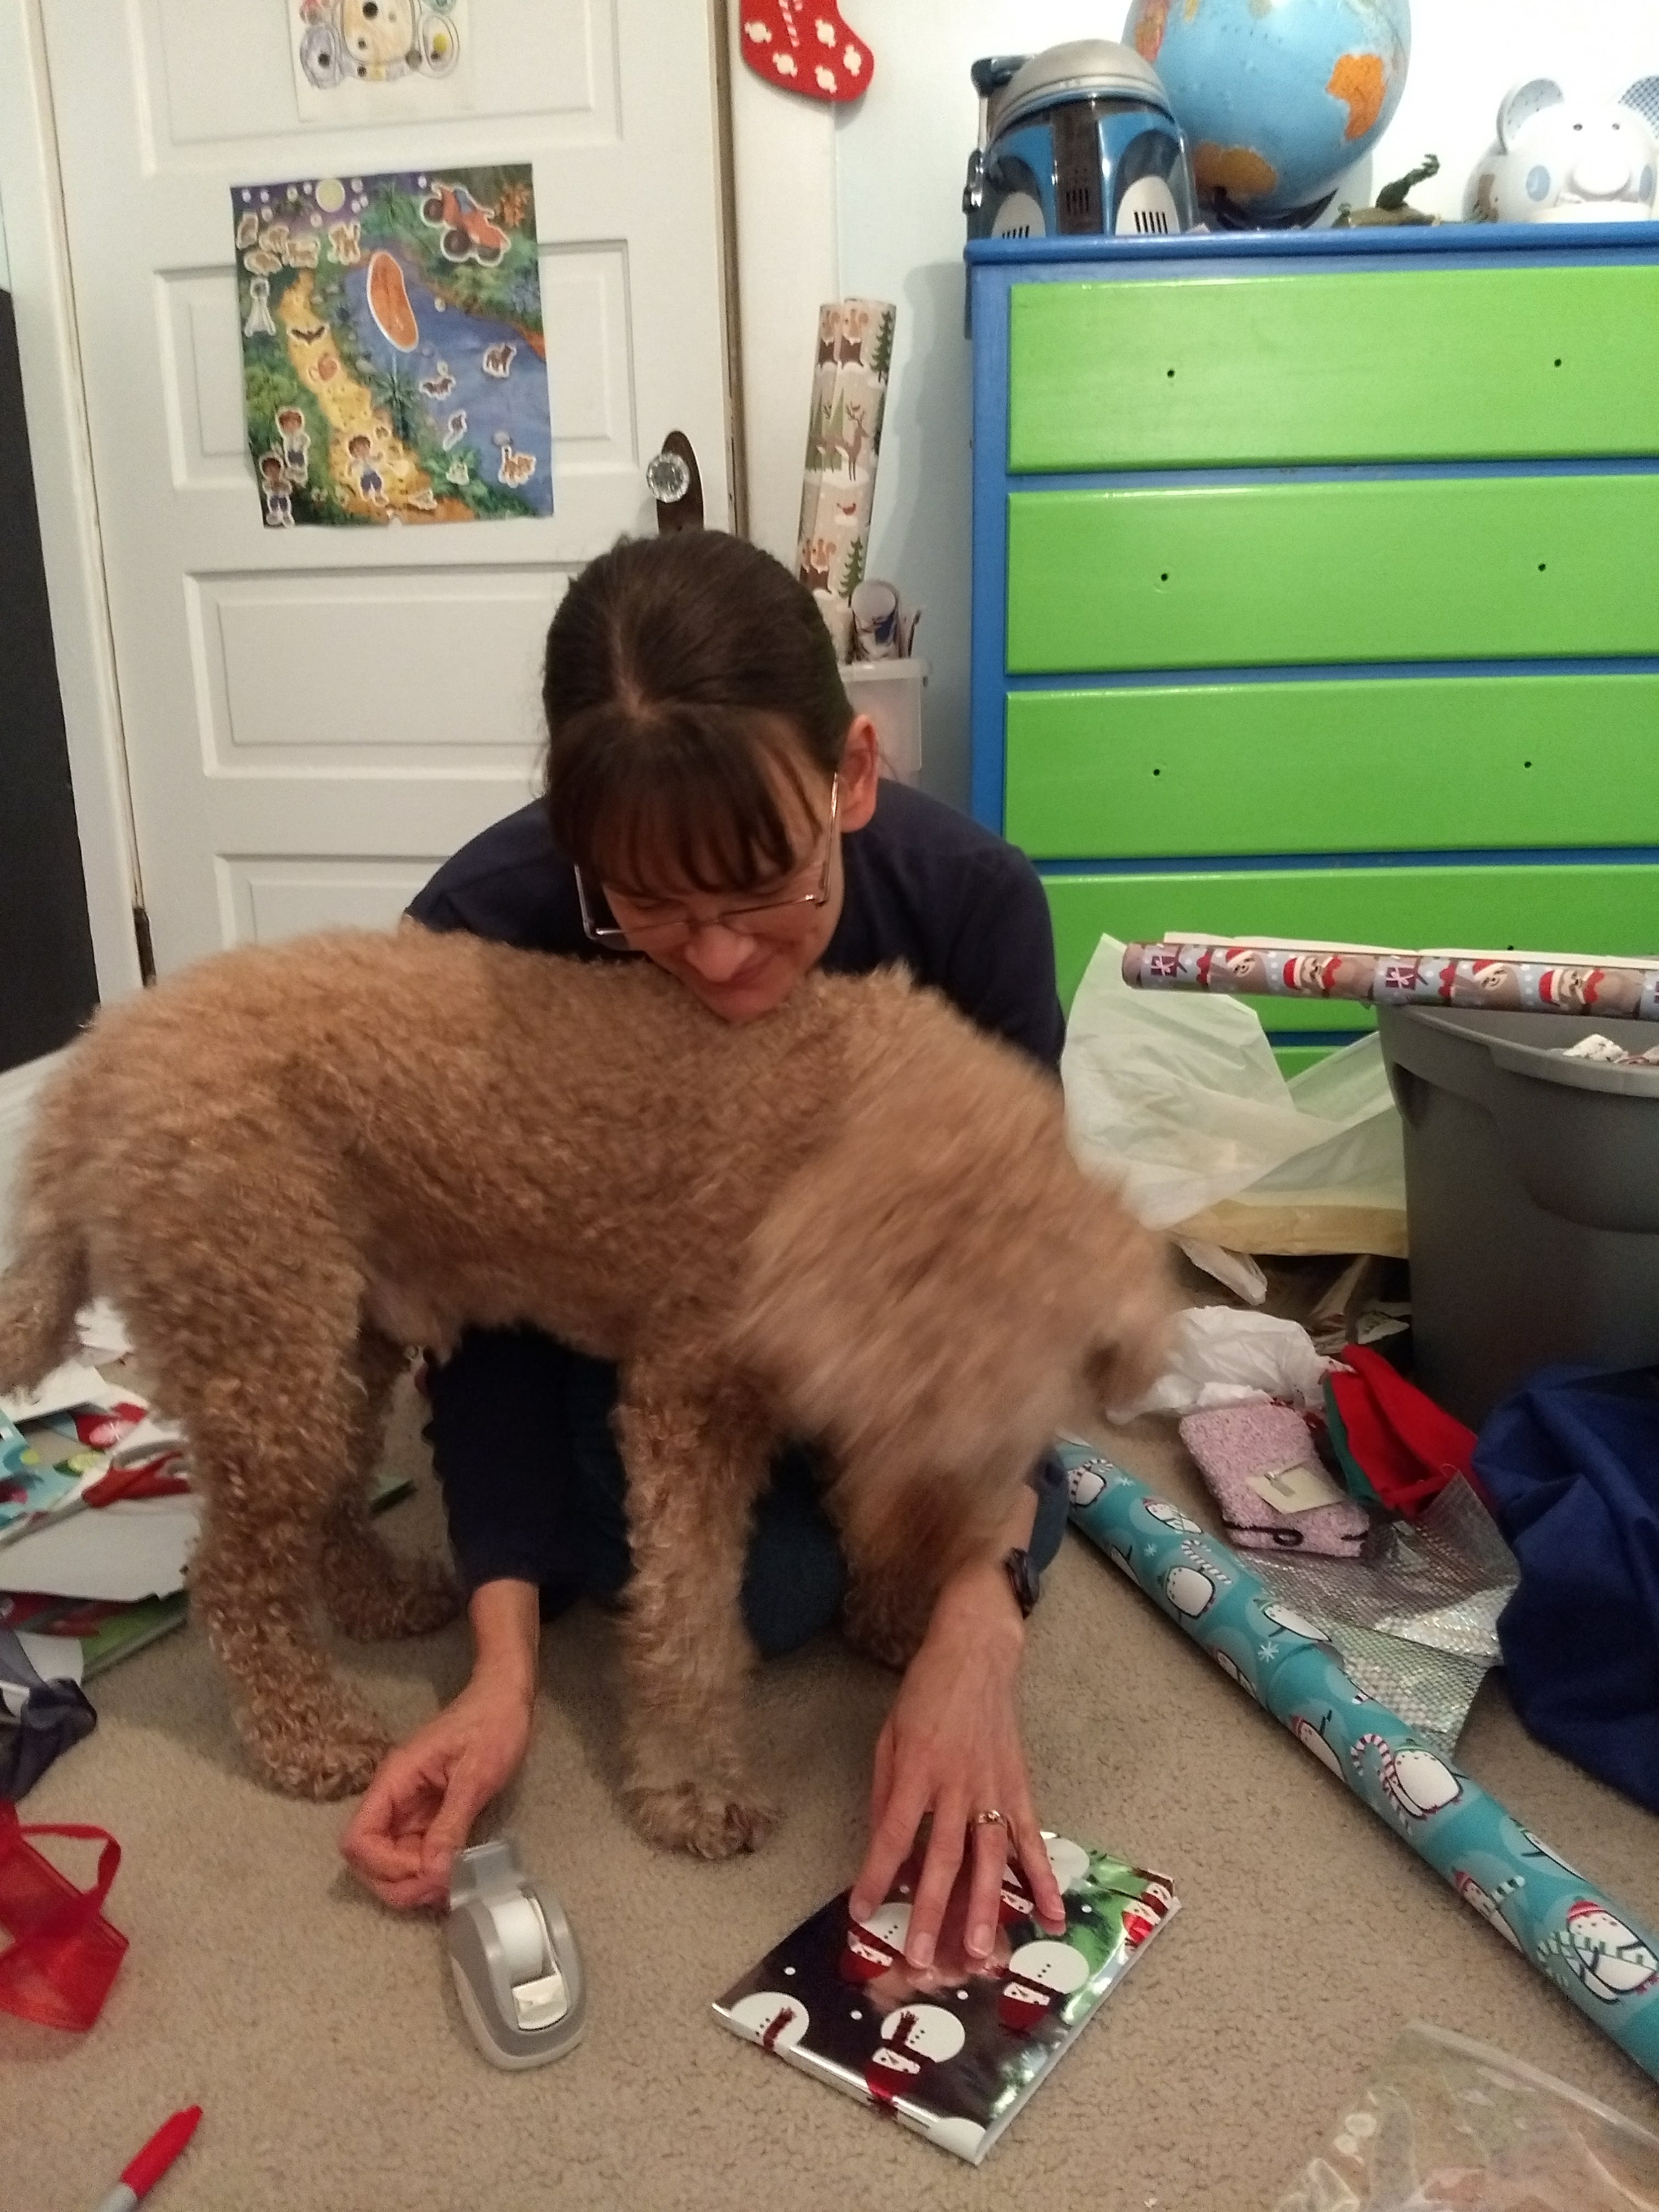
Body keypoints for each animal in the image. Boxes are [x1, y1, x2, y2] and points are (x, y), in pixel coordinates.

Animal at [0, 924, 1167, 1858]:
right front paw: (696, 1787)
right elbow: (691, 1621)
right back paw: (307, 1734)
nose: (924, 1555)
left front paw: (894, 1610)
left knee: (324, 1511)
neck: (857, 1119)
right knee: (233, 1579)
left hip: (337, 1343)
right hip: (268, 1348)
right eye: (902, 1408)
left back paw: (380, 1600)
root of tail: (90, 1068)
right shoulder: (687, 1403)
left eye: (1007, 1430)